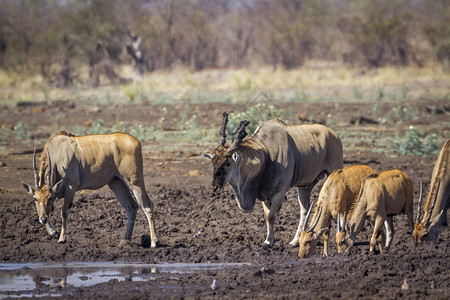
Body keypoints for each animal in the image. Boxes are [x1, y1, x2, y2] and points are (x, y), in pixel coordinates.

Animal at [21, 131, 158, 246]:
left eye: (49, 199)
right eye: (35, 199)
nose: (42, 219)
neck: (56, 154)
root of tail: (136, 140)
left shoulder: (71, 188)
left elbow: (64, 212)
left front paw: (61, 238)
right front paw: (53, 232)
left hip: (134, 182)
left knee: (147, 205)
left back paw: (154, 242)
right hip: (116, 183)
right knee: (131, 207)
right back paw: (125, 240)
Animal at [202, 112, 342, 246]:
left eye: (228, 163)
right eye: (213, 162)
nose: (214, 186)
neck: (267, 154)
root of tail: (334, 135)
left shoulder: (279, 192)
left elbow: (271, 216)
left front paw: (269, 241)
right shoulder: (264, 195)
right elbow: (267, 215)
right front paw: (269, 240)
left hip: (334, 174)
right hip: (305, 186)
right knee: (305, 210)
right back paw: (295, 241)